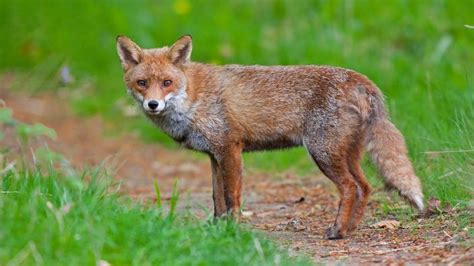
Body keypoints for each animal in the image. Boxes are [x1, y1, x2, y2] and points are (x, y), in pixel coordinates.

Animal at [116, 33, 424, 239]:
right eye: (142, 83)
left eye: (167, 82)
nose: (153, 104)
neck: (192, 97)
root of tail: (362, 79)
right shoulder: (214, 155)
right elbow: (217, 197)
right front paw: (216, 229)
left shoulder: (230, 149)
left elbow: (231, 196)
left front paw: (232, 229)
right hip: (345, 154)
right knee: (365, 187)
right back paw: (349, 228)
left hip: (323, 153)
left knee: (350, 187)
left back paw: (337, 230)